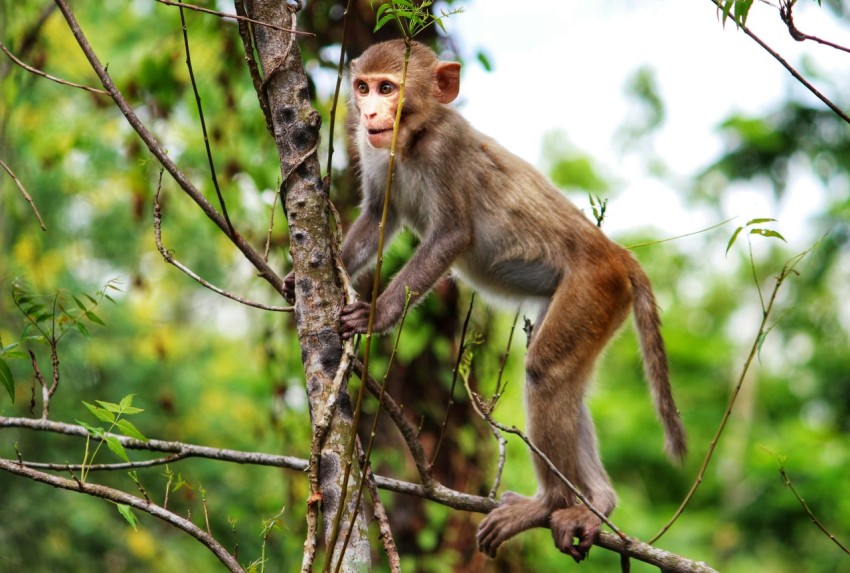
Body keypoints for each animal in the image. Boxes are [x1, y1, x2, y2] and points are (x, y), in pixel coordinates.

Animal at [282, 41, 684, 564]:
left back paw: (550, 504)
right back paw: (596, 504)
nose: (368, 112)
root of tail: (616, 253)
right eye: (363, 87)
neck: (413, 140)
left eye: (388, 88)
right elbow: (373, 218)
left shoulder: (446, 151)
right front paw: (298, 281)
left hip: (593, 286)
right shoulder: (372, 152)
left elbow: (452, 235)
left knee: (546, 370)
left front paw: (376, 315)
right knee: (567, 380)